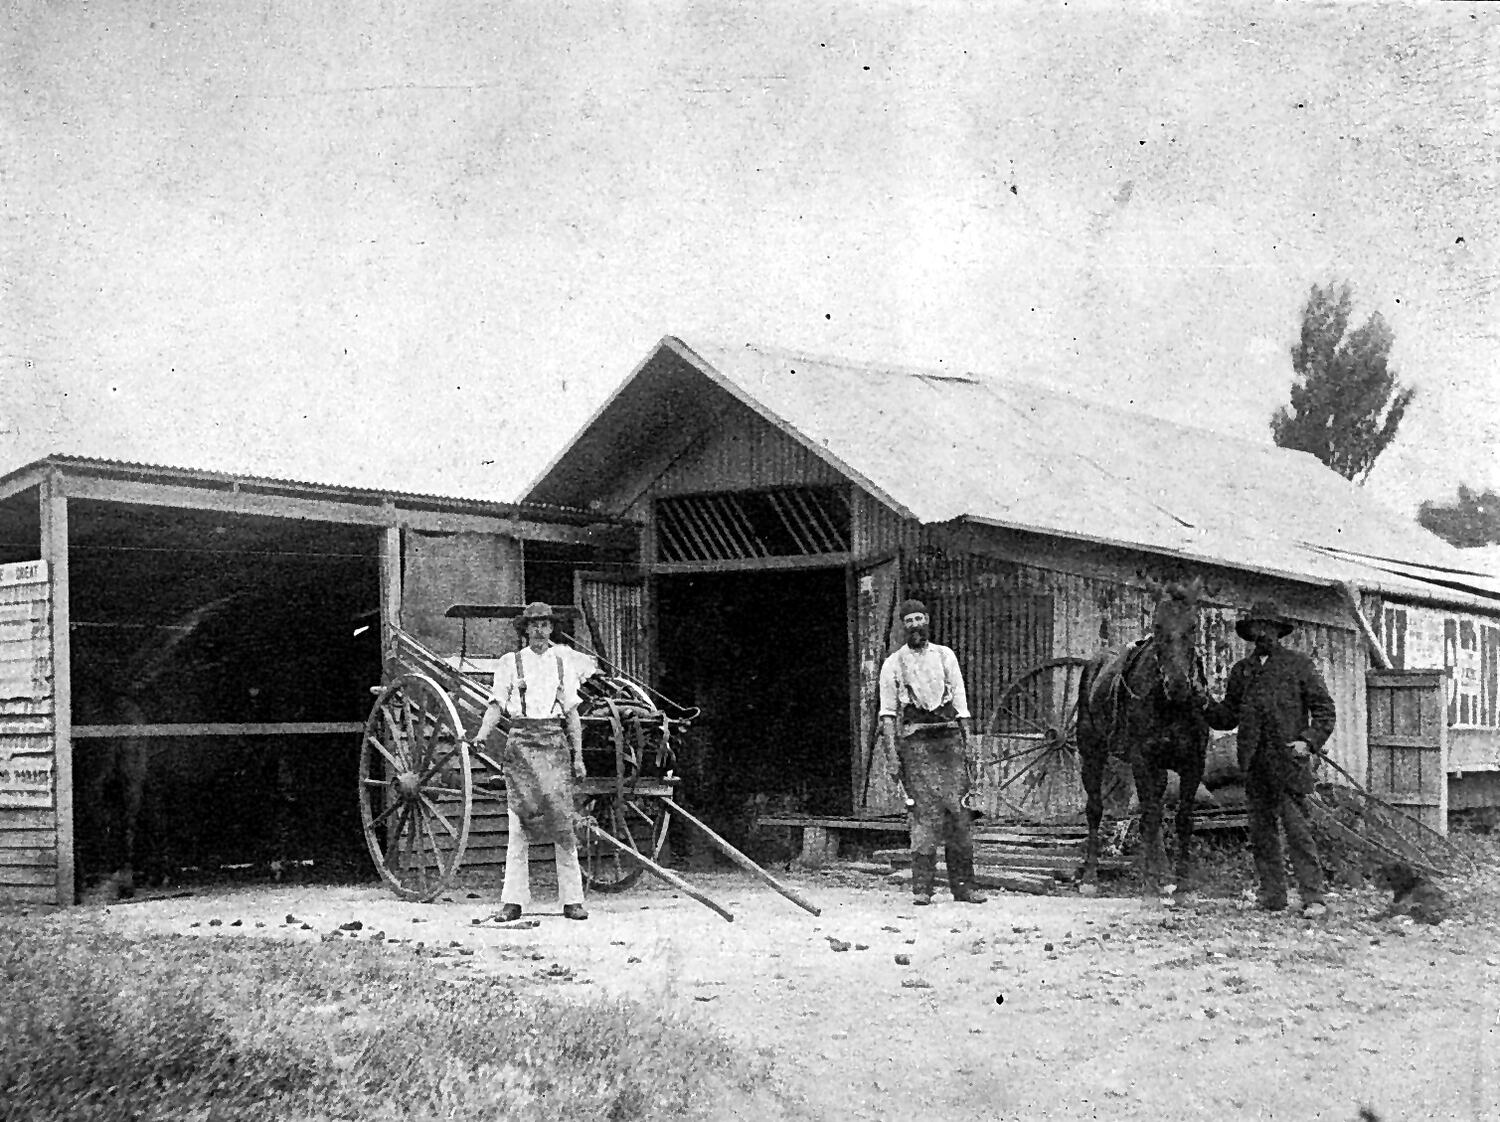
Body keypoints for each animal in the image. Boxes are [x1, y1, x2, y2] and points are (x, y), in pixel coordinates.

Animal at [1074, 579, 1212, 894]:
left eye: (1193, 626)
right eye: (1158, 626)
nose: (1177, 684)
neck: (1170, 706)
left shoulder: (1193, 763)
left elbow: (1183, 819)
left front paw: (1181, 880)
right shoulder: (1142, 760)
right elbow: (1149, 817)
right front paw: (1151, 881)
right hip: (1092, 753)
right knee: (1095, 808)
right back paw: (1090, 875)